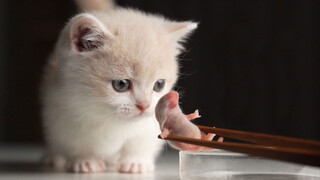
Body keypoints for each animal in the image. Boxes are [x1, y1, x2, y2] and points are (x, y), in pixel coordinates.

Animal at [41, 0, 198, 174]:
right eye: (121, 84)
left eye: (159, 85)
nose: (144, 105)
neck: (110, 119)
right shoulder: (61, 111)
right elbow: (75, 141)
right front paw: (85, 160)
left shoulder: (150, 124)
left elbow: (139, 141)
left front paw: (136, 161)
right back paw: (54, 157)